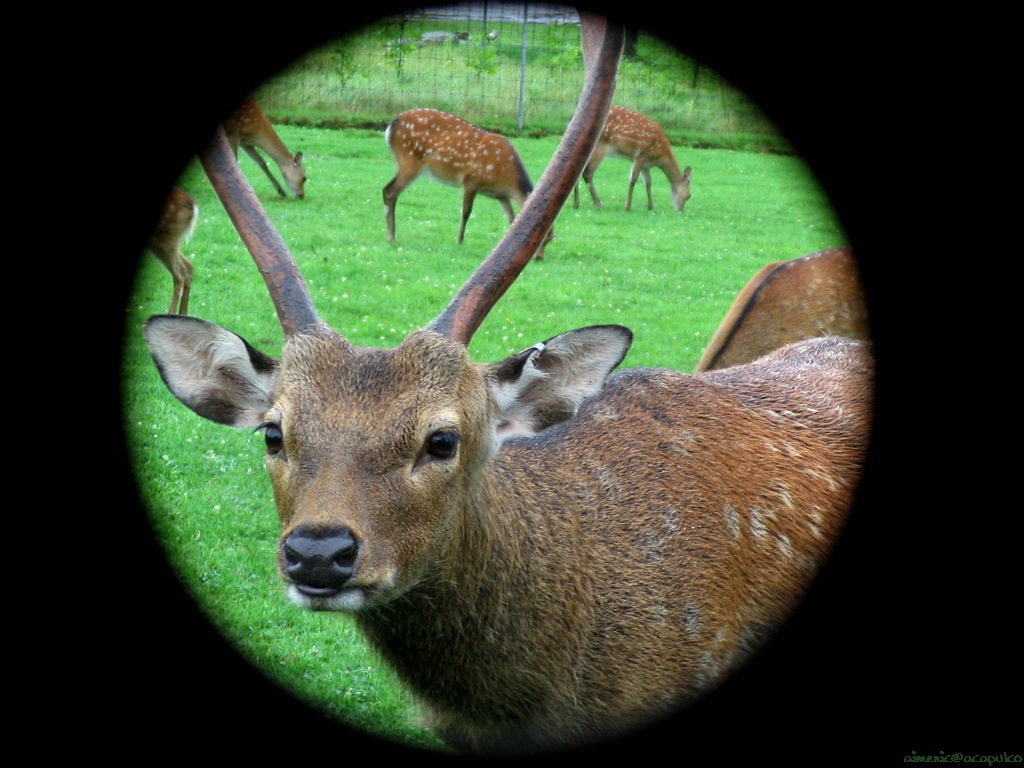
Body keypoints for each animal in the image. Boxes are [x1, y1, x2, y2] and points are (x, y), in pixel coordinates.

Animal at [145, 186, 199, 315]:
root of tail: (192, 204)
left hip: (162, 239)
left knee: (179, 275)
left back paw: (169, 314)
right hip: (171, 241)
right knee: (188, 267)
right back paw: (182, 314)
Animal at [383, 107, 553, 260]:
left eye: (550, 239)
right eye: (540, 239)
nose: (539, 258)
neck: (504, 175)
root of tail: (390, 126)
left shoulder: (501, 196)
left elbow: (512, 219)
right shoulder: (471, 180)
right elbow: (466, 212)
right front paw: (459, 241)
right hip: (409, 160)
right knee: (388, 190)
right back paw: (391, 238)